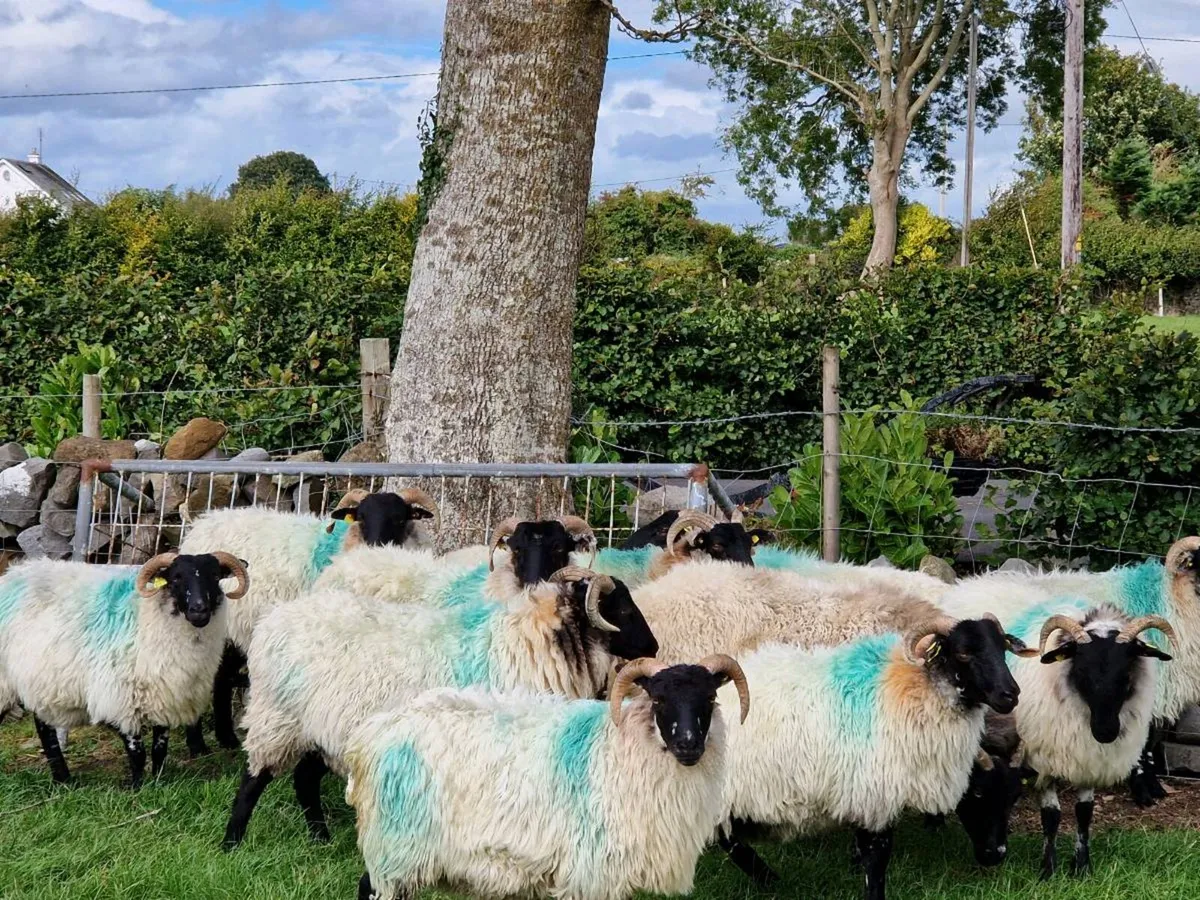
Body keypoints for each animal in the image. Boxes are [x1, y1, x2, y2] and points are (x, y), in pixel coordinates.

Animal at [0, 551, 248, 787]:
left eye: (215, 576)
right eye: (176, 578)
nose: (199, 609)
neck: (148, 619)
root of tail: (14, 573)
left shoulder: (165, 696)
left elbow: (159, 748)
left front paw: (158, 783)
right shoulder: (117, 698)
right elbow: (137, 751)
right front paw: (137, 787)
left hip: (41, 680)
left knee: (44, 727)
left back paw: (63, 780)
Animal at [177, 487, 437, 749]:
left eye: (400, 519)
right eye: (361, 517)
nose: (376, 547)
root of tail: (205, 522)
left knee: (222, 677)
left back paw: (227, 738)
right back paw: (197, 744)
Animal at [221, 566, 658, 849]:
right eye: (621, 608)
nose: (654, 647)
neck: (526, 646)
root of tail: (272, 620)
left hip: (322, 728)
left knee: (304, 781)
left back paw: (320, 840)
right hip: (277, 716)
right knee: (254, 777)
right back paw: (232, 843)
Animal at [346, 654, 749, 900]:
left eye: (710, 699)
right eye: (659, 700)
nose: (688, 744)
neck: (621, 748)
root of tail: (373, 732)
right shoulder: (591, 873)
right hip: (396, 846)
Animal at [718, 617, 1023, 900]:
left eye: (1002, 648)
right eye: (963, 653)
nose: (1011, 694)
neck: (917, 692)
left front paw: (852, 862)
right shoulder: (875, 795)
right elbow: (877, 860)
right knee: (727, 840)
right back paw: (768, 878)